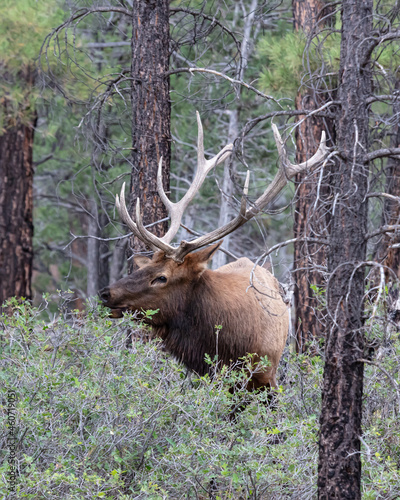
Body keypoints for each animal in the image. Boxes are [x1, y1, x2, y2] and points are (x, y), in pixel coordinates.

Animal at [100, 113, 328, 390]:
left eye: (161, 277)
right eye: (147, 268)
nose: (105, 293)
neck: (231, 345)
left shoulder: (267, 376)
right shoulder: (210, 377)